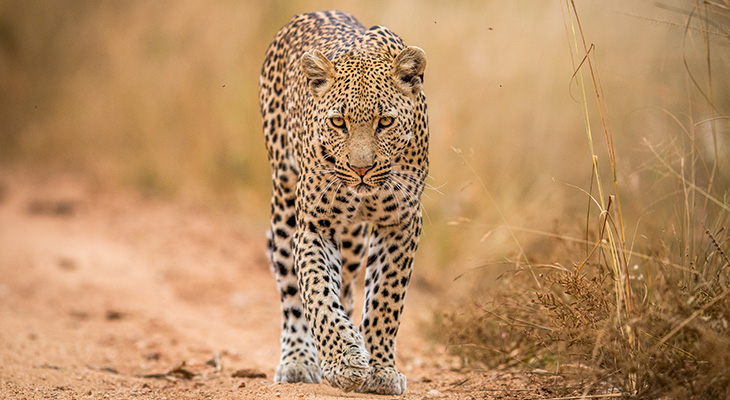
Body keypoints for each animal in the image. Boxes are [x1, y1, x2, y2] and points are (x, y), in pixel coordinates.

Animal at [256, 8, 426, 394]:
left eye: (385, 121)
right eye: (337, 122)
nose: (361, 169)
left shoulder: (401, 223)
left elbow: (385, 299)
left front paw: (380, 370)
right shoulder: (315, 226)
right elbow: (317, 292)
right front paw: (343, 361)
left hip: (353, 241)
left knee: (347, 285)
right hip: (285, 202)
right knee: (291, 288)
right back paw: (299, 360)